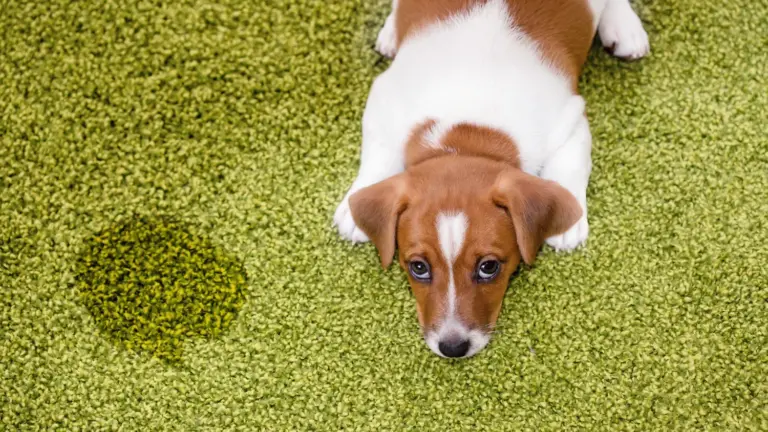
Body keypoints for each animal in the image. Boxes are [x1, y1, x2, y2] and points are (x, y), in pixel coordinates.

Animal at [332, 0, 652, 358]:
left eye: (489, 267)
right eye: (418, 267)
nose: (452, 347)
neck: (468, 129)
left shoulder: (570, 120)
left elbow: (570, 166)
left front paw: (569, 220)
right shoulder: (383, 101)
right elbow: (377, 154)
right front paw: (354, 208)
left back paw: (624, 26)